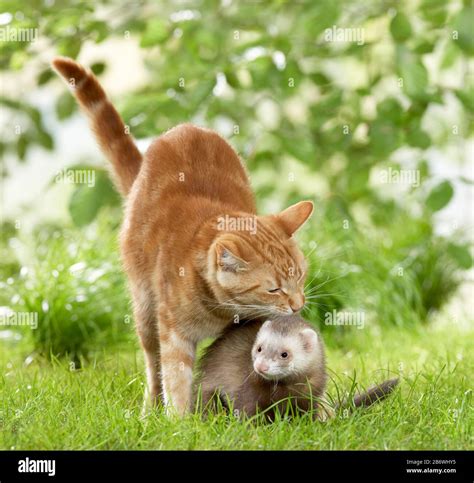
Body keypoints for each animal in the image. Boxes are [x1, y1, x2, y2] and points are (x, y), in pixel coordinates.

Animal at [52, 57, 314, 416]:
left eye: (300, 277)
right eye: (274, 289)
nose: (298, 304)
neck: (218, 309)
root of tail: (186, 129)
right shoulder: (173, 334)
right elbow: (175, 378)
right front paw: (179, 420)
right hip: (145, 311)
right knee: (153, 366)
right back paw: (150, 409)